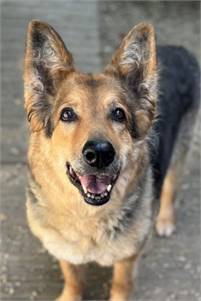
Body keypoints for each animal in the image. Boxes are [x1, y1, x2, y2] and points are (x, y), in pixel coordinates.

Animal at [23, 19, 199, 298]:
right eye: (67, 114)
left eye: (118, 114)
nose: (100, 154)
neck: (89, 218)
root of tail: (179, 49)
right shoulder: (64, 251)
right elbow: (72, 278)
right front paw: (70, 294)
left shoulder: (127, 260)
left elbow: (121, 285)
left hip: (181, 149)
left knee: (170, 187)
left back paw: (164, 220)